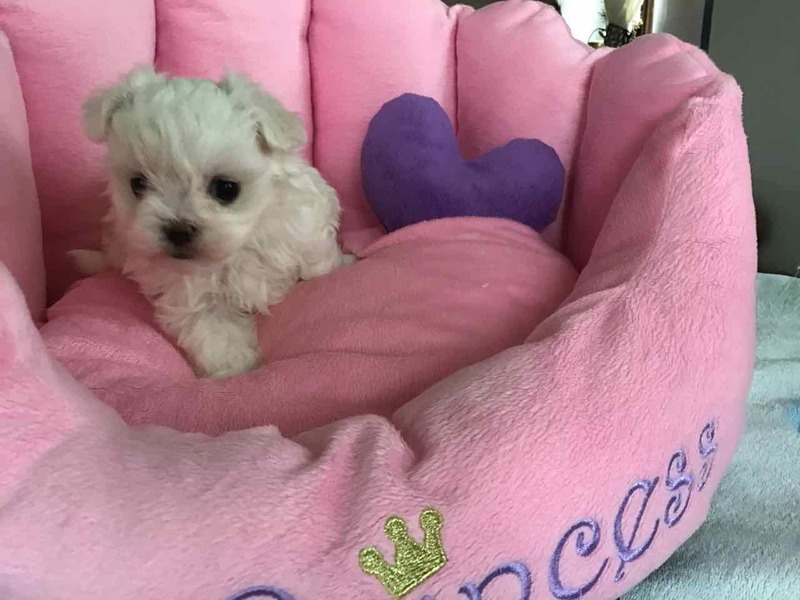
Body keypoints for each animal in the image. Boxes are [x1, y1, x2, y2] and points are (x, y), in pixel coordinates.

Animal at [73, 67, 352, 378]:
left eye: (226, 189)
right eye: (138, 184)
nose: (178, 230)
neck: (237, 249)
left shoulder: (304, 229)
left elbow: (318, 262)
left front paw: (342, 266)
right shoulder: (187, 293)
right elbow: (213, 330)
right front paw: (234, 368)